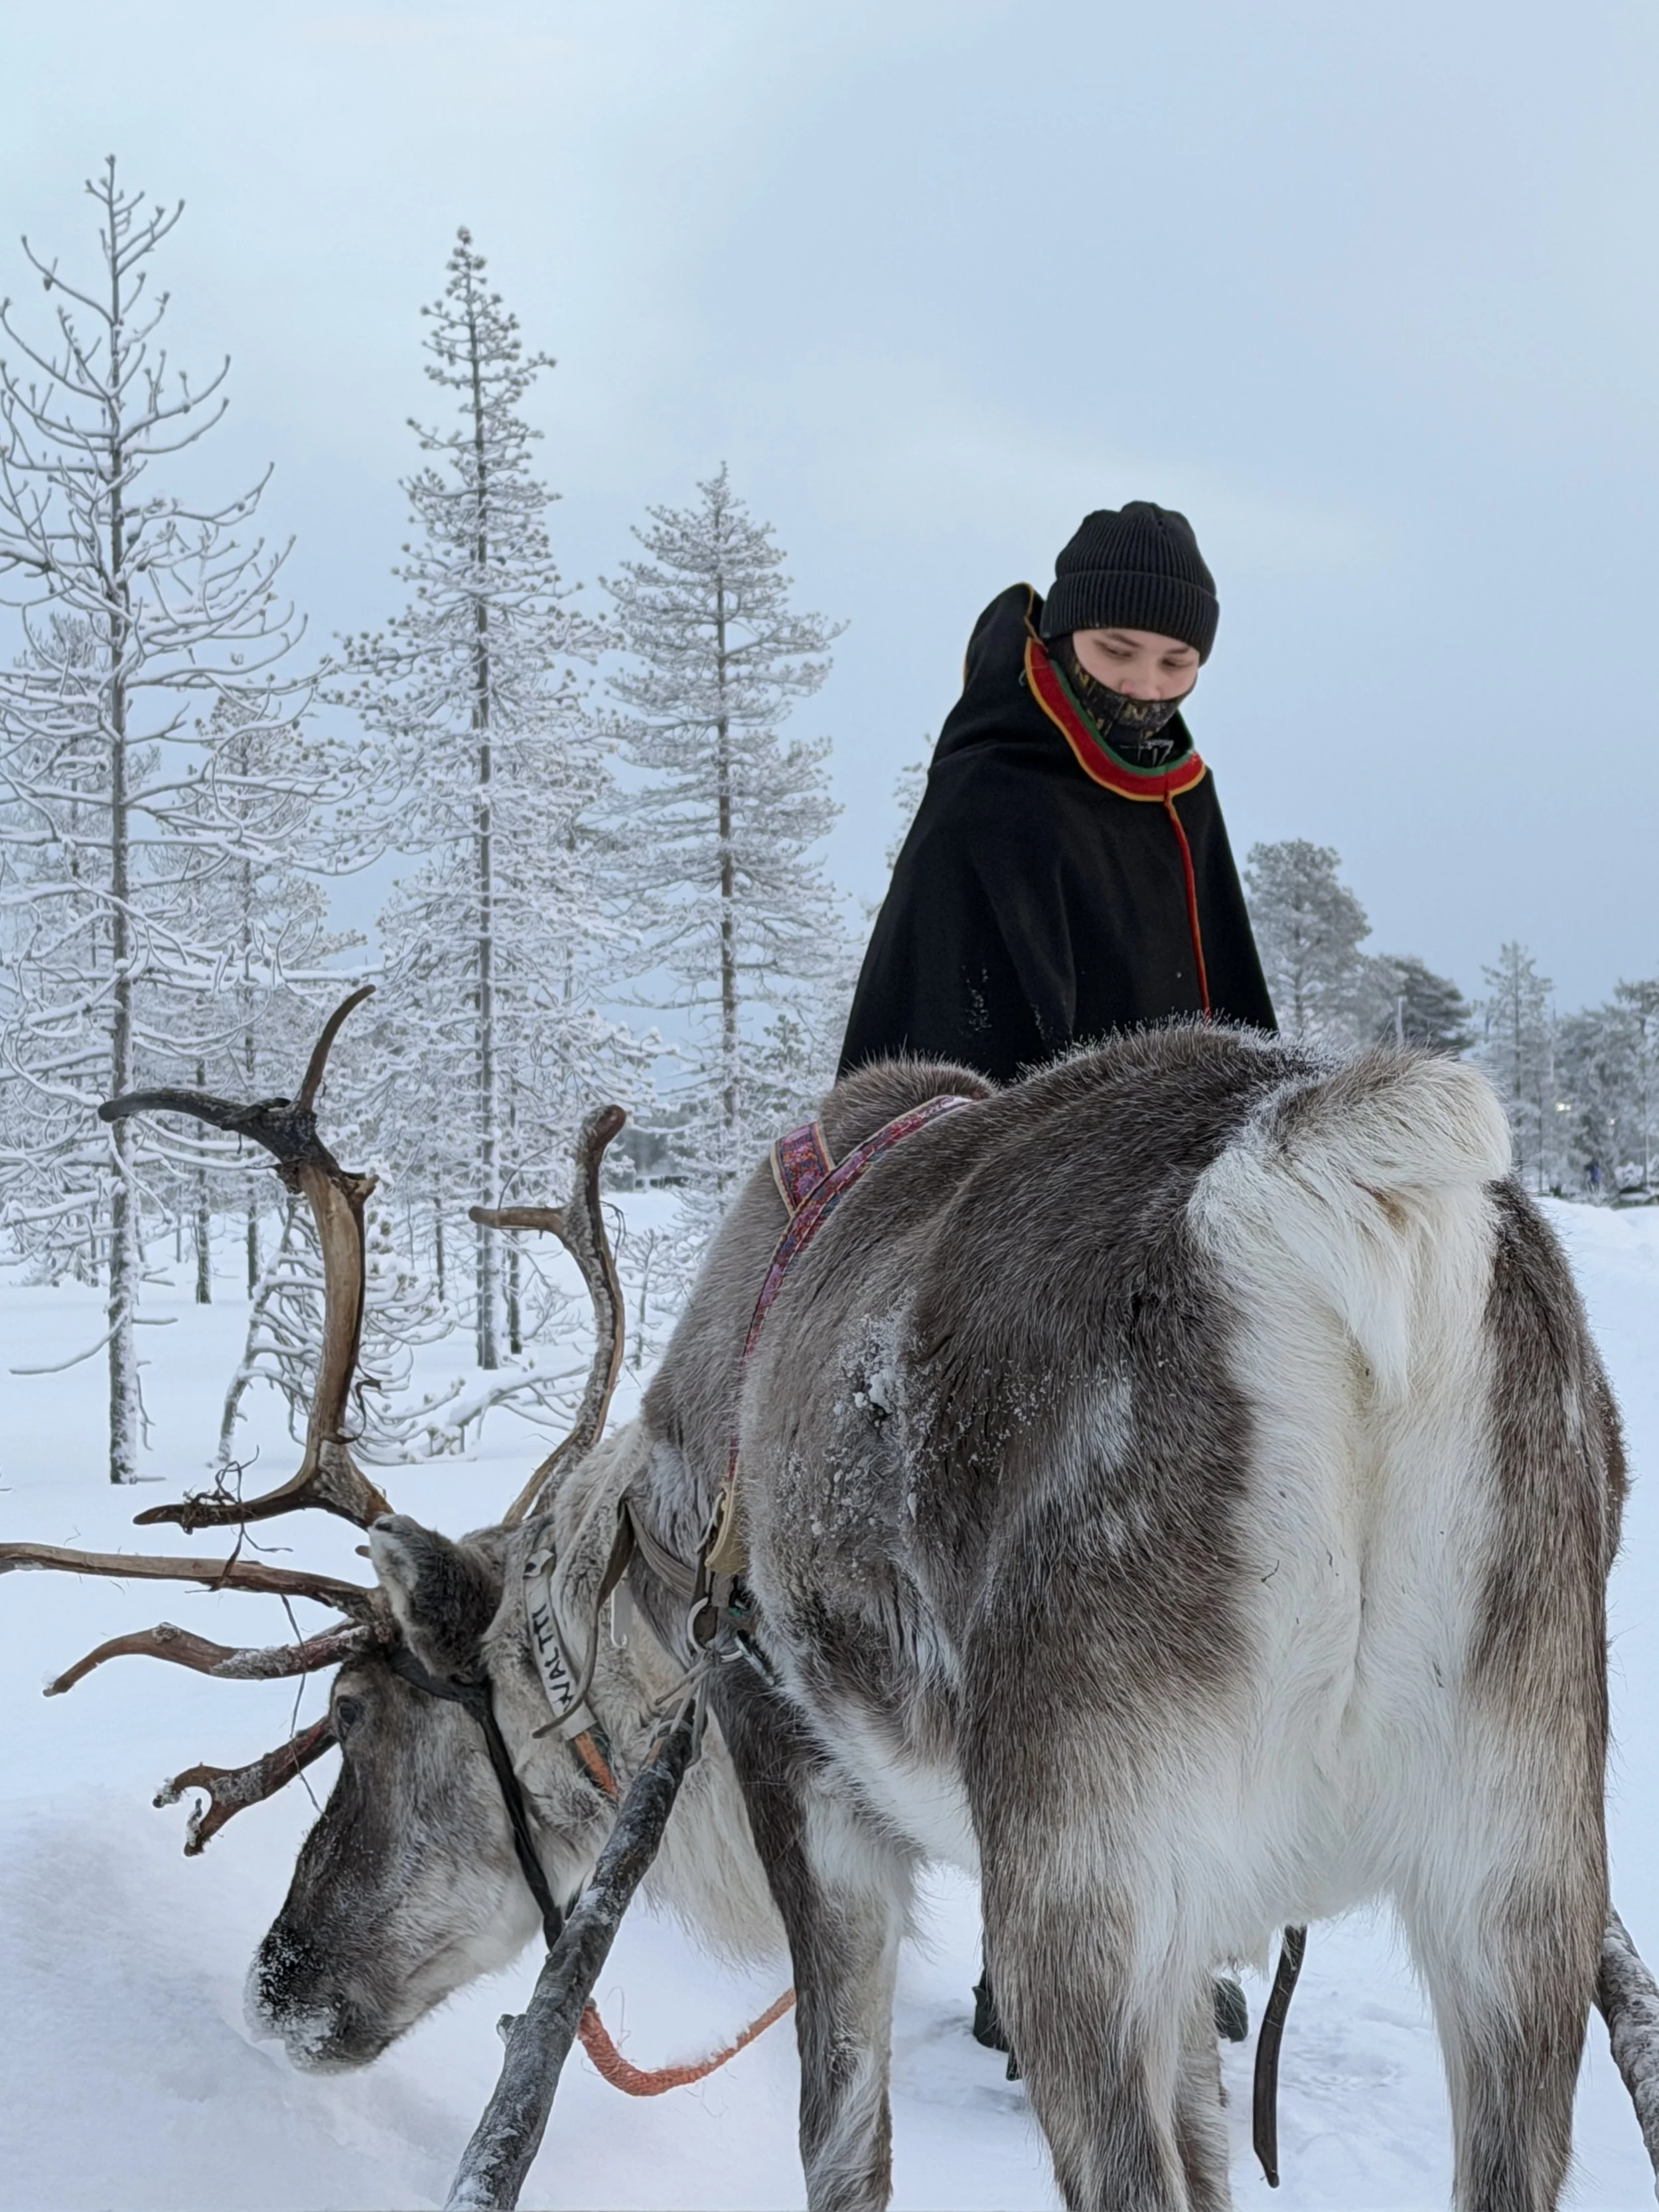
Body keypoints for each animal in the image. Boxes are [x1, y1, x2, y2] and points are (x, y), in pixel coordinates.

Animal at [4, 997, 1656, 2212]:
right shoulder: (1204, 1926)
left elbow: (839, 2139)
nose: (276, 1980)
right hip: (1518, 1865)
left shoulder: (797, 1773)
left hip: (1077, 1867)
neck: (645, 1578)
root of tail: (1325, 1181)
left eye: (355, 1710)